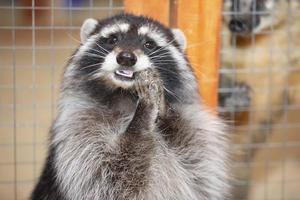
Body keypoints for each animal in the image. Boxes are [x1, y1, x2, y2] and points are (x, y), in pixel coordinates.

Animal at [31, 14, 230, 200]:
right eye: (113, 39)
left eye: (149, 44)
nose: (126, 58)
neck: (126, 95)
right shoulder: (78, 126)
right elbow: (112, 176)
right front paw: (142, 119)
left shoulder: (198, 134)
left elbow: (198, 166)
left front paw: (165, 112)